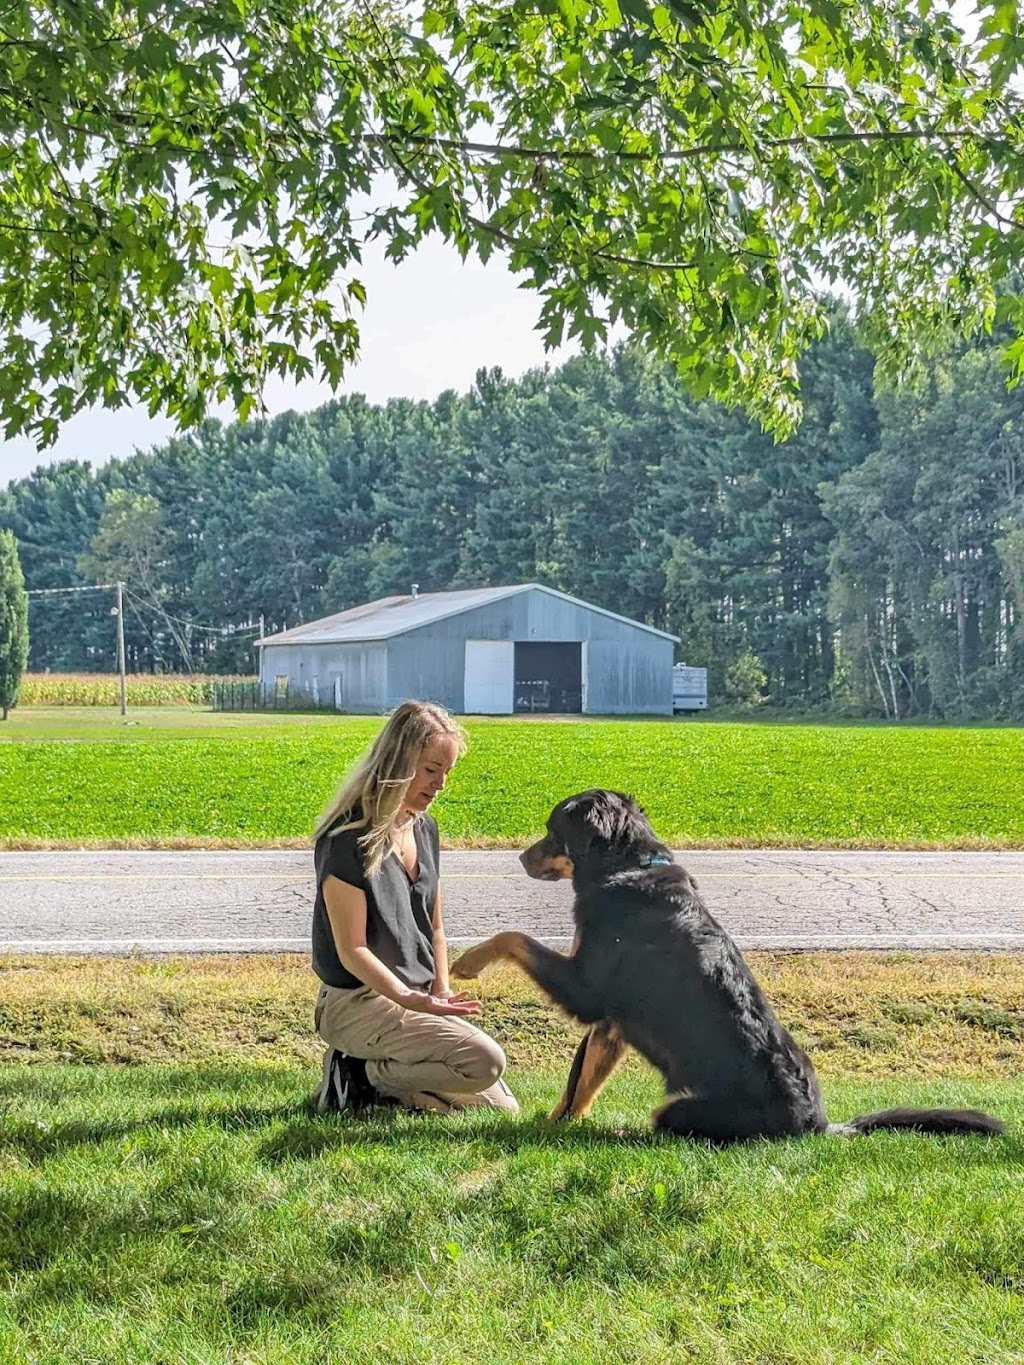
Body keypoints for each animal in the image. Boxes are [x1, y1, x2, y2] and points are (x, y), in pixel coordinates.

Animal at [453, 791, 1004, 1141]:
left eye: (552, 830)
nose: (519, 858)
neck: (627, 868)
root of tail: (817, 1125)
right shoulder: (609, 1024)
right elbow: (578, 1084)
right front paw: (554, 1124)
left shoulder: (586, 989)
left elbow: (513, 937)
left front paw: (466, 961)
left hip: (678, 1107)